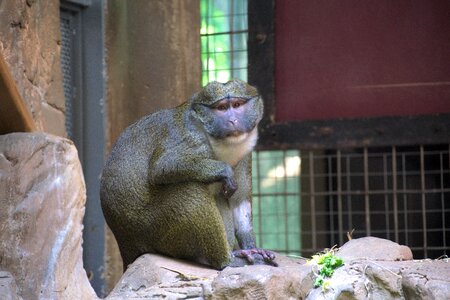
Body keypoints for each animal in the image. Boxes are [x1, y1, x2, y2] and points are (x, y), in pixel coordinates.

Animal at [100, 78, 276, 270]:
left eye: (237, 105)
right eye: (221, 108)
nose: (233, 120)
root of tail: (125, 243)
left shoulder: (245, 156)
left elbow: (239, 201)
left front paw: (252, 247)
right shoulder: (192, 138)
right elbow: (162, 167)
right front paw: (224, 171)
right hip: (150, 228)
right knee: (191, 191)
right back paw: (226, 261)